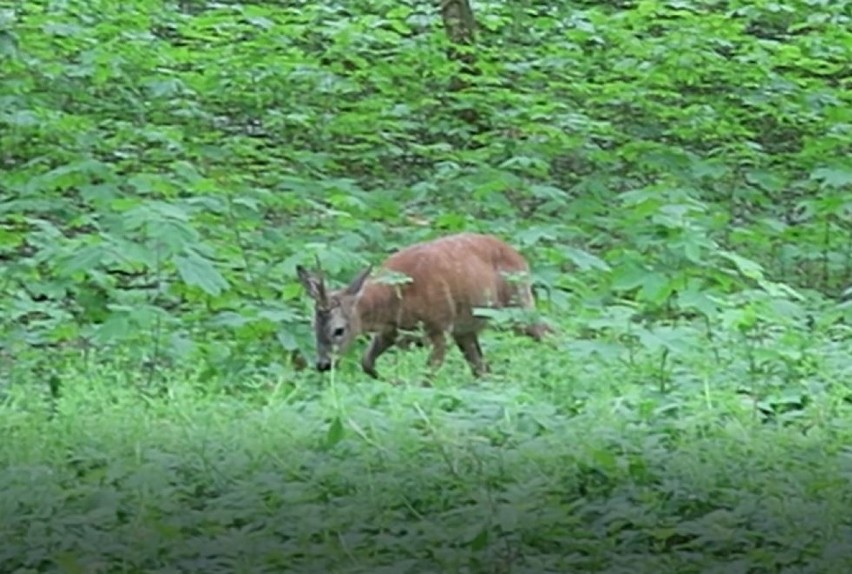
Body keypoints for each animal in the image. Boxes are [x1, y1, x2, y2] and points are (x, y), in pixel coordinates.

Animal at [298, 232, 552, 380]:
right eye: (313, 327)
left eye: (338, 330)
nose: (323, 364)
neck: (395, 299)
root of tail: (520, 257)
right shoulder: (391, 332)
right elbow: (366, 362)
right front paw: (389, 381)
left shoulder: (439, 328)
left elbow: (427, 375)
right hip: (467, 328)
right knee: (481, 368)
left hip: (516, 305)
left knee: (548, 332)